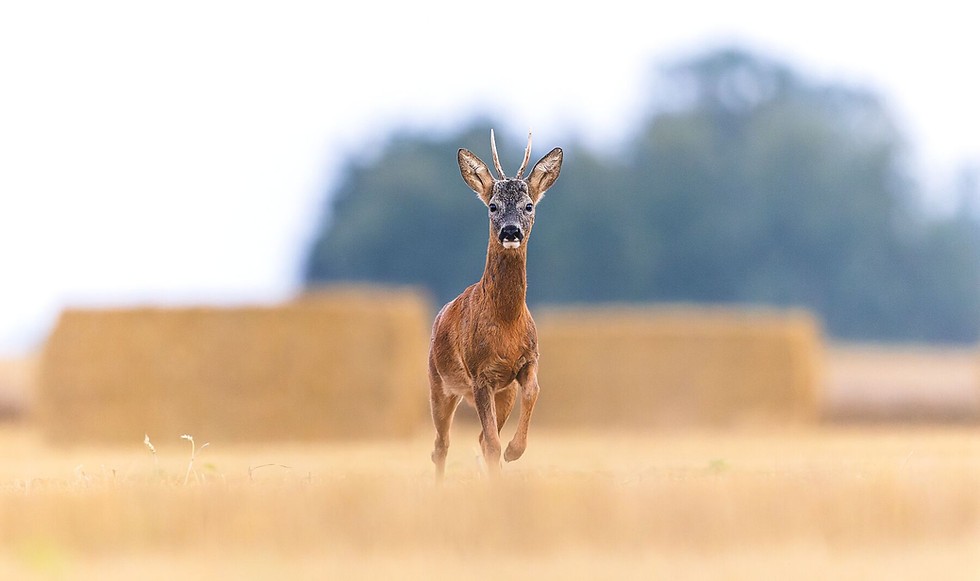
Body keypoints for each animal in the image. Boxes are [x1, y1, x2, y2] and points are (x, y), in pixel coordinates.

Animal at [428, 130, 562, 479]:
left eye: (529, 205)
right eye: (492, 205)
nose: (510, 231)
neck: (506, 322)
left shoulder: (525, 363)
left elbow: (534, 392)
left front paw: (516, 450)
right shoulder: (480, 374)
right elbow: (491, 443)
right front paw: (510, 454)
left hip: (502, 392)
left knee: (475, 439)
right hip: (439, 383)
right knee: (441, 445)